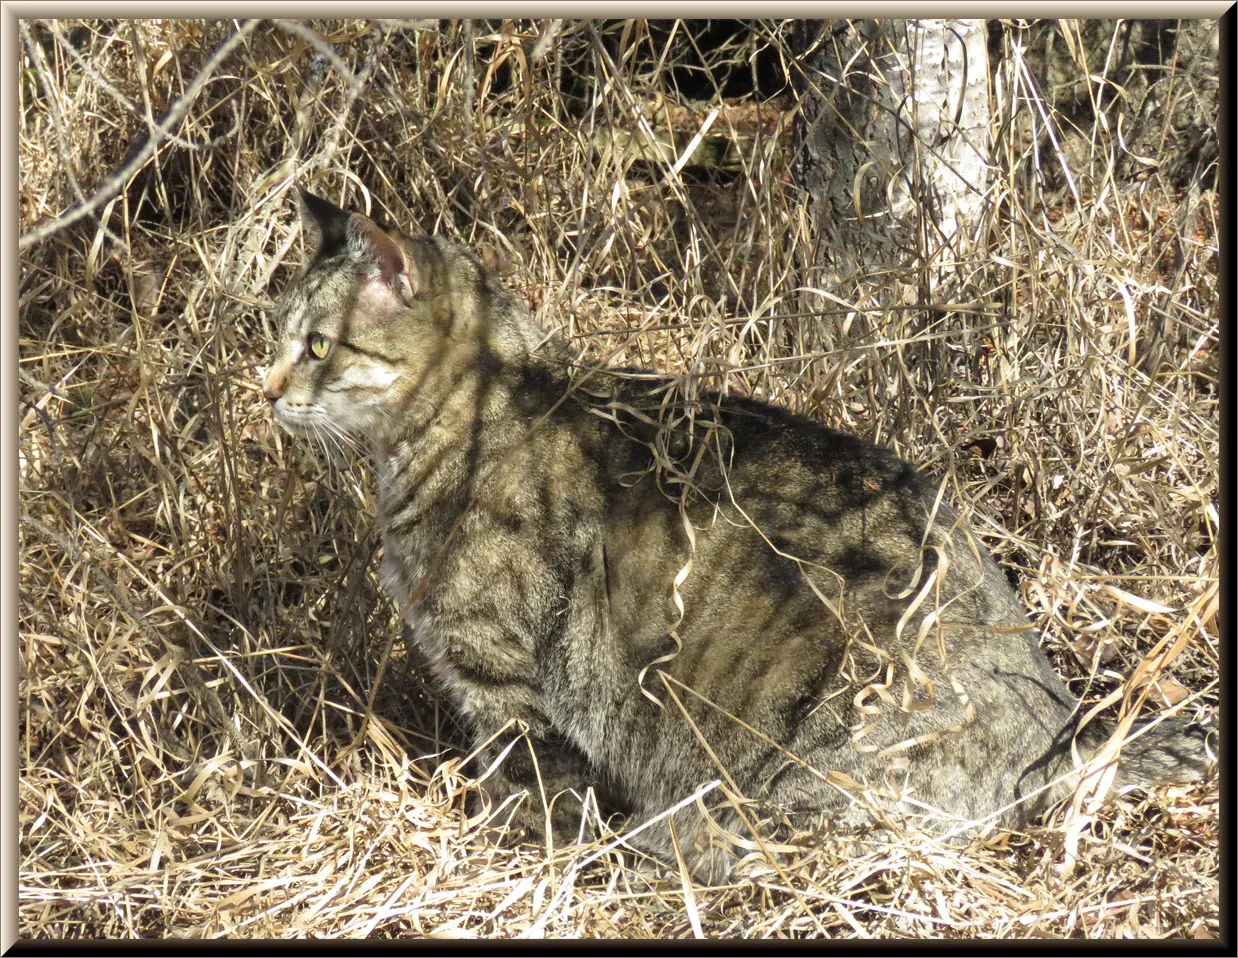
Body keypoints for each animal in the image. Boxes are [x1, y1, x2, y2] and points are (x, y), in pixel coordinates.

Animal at [258, 189, 1208, 886]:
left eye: (317, 346)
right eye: (282, 338)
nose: (263, 391)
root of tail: (1055, 725)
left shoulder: (501, 679)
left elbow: (535, 792)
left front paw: (525, 855)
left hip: (817, 743)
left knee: (785, 842)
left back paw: (659, 841)